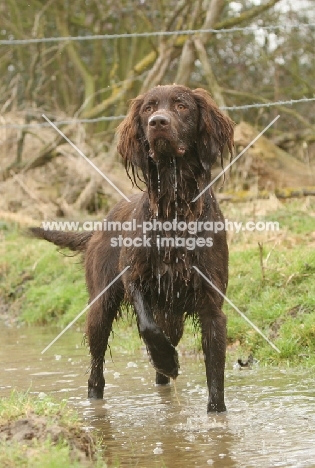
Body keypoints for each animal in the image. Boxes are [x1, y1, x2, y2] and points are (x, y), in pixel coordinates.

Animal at [31, 85, 235, 414]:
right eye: (148, 108)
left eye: (181, 106)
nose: (158, 122)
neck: (174, 209)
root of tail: (100, 226)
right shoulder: (134, 278)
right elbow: (147, 325)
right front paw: (167, 359)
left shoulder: (211, 303)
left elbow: (215, 379)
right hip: (100, 307)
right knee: (96, 371)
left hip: (172, 318)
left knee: (161, 370)